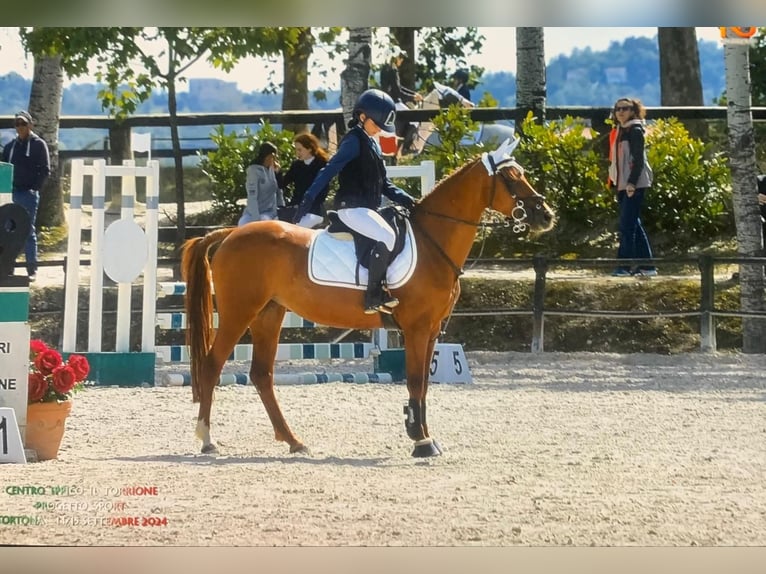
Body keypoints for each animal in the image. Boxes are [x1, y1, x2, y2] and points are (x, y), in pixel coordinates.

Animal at [183, 140, 556, 460]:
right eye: (511, 178)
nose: (547, 215)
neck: (433, 242)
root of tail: (230, 234)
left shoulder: (432, 330)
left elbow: (423, 385)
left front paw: (423, 435)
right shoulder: (417, 328)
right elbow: (415, 381)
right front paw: (421, 441)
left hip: (269, 314)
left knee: (261, 374)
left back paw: (293, 441)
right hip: (239, 312)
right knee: (213, 365)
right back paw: (206, 438)